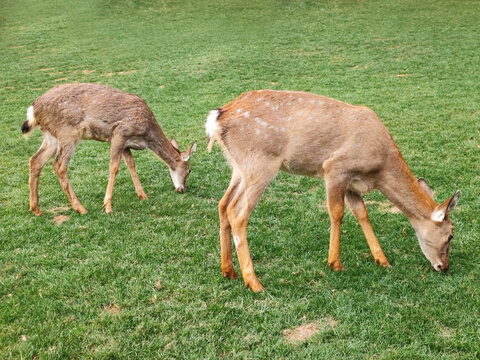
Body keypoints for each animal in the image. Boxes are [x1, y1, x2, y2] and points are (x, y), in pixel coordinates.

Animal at [21, 83, 198, 215]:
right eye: (189, 170)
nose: (182, 189)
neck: (146, 134)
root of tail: (33, 110)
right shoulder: (119, 133)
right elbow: (114, 167)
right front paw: (107, 206)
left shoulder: (126, 144)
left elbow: (131, 164)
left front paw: (143, 195)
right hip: (68, 133)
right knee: (59, 165)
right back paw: (80, 208)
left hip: (51, 136)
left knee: (35, 160)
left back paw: (36, 209)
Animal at [206, 90, 462, 292]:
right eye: (450, 234)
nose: (443, 267)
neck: (379, 169)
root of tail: (217, 119)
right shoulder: (336, 168)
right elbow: (337, 213)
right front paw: (335, 263)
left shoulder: (352, 183)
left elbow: (362, 213)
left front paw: (382, 260)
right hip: (261, 163)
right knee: (238, 212)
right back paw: (254, 282)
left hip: (238, 167)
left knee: (223, 204)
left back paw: (229, 271)